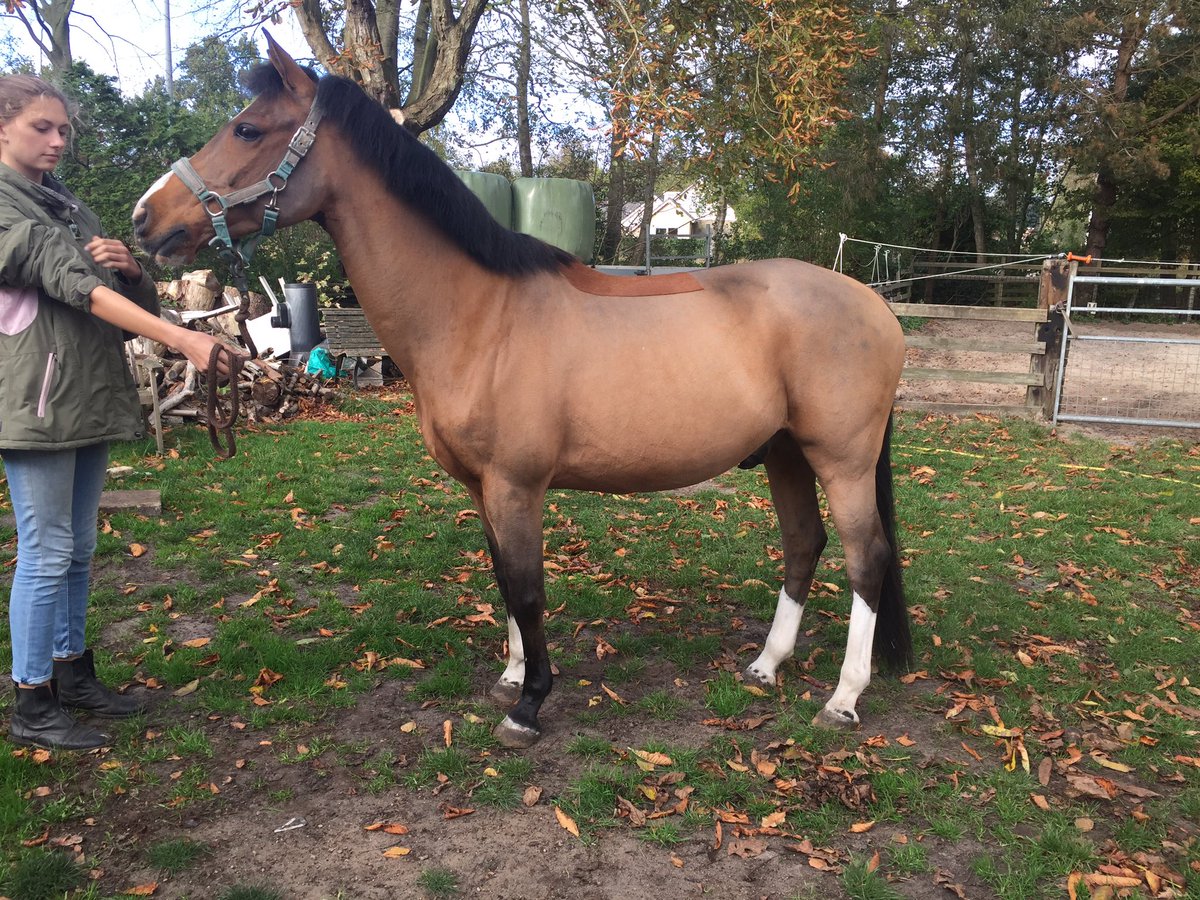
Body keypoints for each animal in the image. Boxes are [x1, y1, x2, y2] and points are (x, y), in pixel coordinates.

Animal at [133, 35, 912, 749]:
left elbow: (529, 587)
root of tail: (876, 306)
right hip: (784, 453)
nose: (146, 217)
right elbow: (503, 581)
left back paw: (843, 698)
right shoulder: (484, 487)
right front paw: (510, 678)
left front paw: (529, 705)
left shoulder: (516, 484)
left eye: (247, 129)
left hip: (840, 461)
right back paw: (766, 665)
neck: (480, 316)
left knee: (865, 559)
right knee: (804, 544)